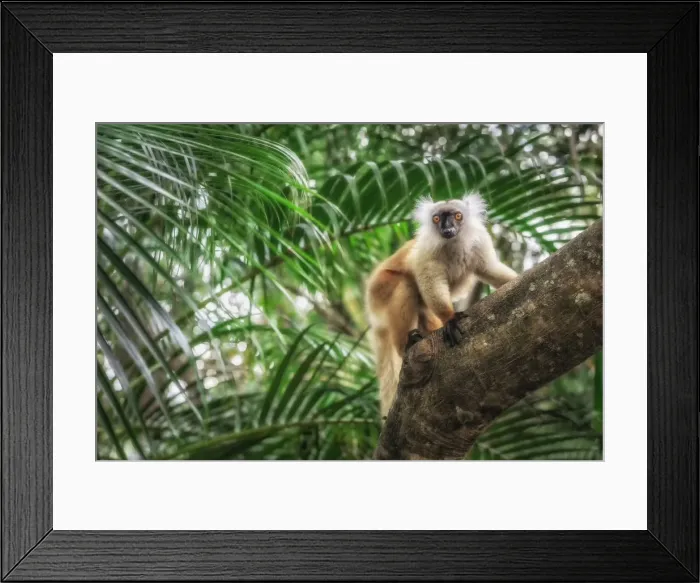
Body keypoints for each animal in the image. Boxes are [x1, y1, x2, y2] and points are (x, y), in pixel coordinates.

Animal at [364, 193, 518, 418]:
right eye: (437, 219)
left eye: (457, 216)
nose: (447, 228)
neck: (453, 243)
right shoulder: (428, 249)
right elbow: (430, 281)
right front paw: (450, 318)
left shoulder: (479, 241)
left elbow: (489, 269)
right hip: (380, 290)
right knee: (406, 284)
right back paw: (405, 344)